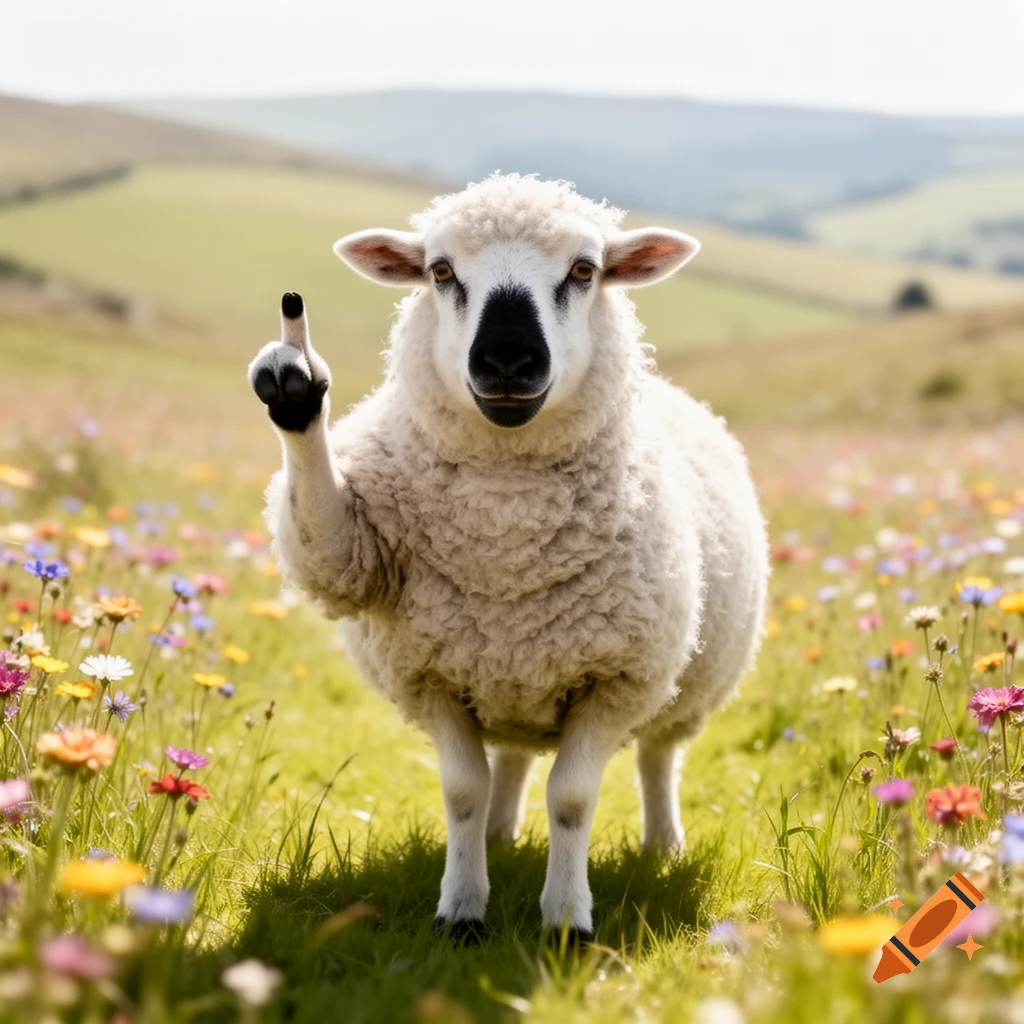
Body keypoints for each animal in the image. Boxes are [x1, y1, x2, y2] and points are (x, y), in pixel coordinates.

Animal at [248, 174, 769, 942]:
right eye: (440, 272)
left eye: (584, 270)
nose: (507, 360)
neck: (507, 529)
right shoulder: (424, 668)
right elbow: (463, 790)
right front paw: (462, 910)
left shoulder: (616, 677)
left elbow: (573, 799)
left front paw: (568, 920)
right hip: (509, 673)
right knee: (515, 756)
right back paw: (499, 833)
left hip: (679, 683)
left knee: (657, 757)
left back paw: (662, 846)